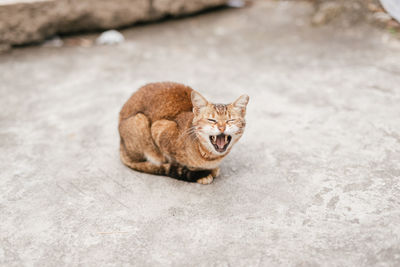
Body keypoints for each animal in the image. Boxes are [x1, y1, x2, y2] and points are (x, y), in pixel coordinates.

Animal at [119, 82, 248, 185]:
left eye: (230, 120)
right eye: (212, 120)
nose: (222, 127)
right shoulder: (159, 128)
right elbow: (174, 160)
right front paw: (200, 172)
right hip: (140, 120)